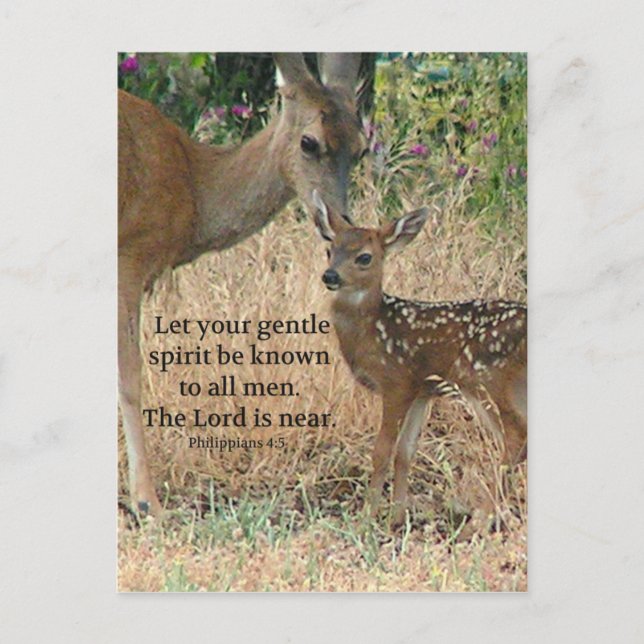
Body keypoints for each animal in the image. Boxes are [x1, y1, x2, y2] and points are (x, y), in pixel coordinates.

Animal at [119, 53, 365, 516]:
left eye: (360, 147)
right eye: (309, 142)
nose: (338, 223)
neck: (195, 186)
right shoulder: (130, 255)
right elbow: (130, 376)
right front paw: (147, 502)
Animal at [312, 191, 527, 527]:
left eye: (364, 257)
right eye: (329, 250)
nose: (330, 275)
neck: (372, 330)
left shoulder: (396, 382)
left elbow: (382, 450)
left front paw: (367, 518)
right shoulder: (423, 390)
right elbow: (405, 452)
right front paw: (397, 517)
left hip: (484, 377)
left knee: (516, 437)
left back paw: (481, 519)